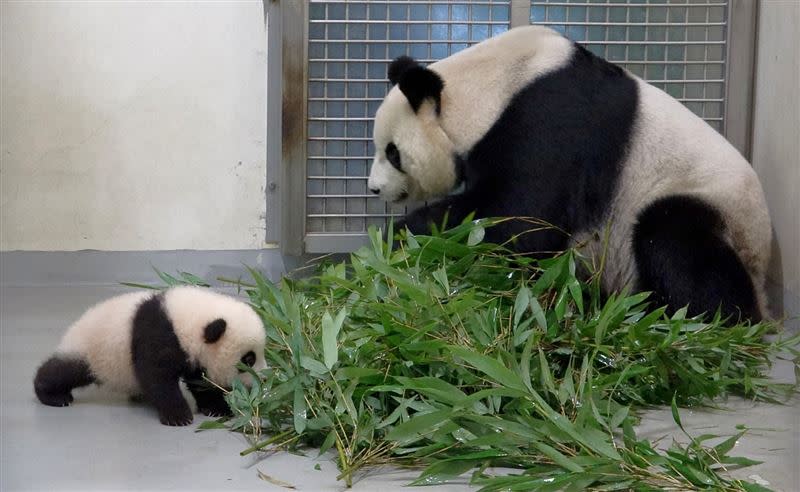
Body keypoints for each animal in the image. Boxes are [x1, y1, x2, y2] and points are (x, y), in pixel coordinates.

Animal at [366, 25, 772, 320]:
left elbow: (520, 221)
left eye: (393, 152)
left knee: (676, 245)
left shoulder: (550, 122)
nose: (374, 189)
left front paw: (394, 240)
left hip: (711, 206)